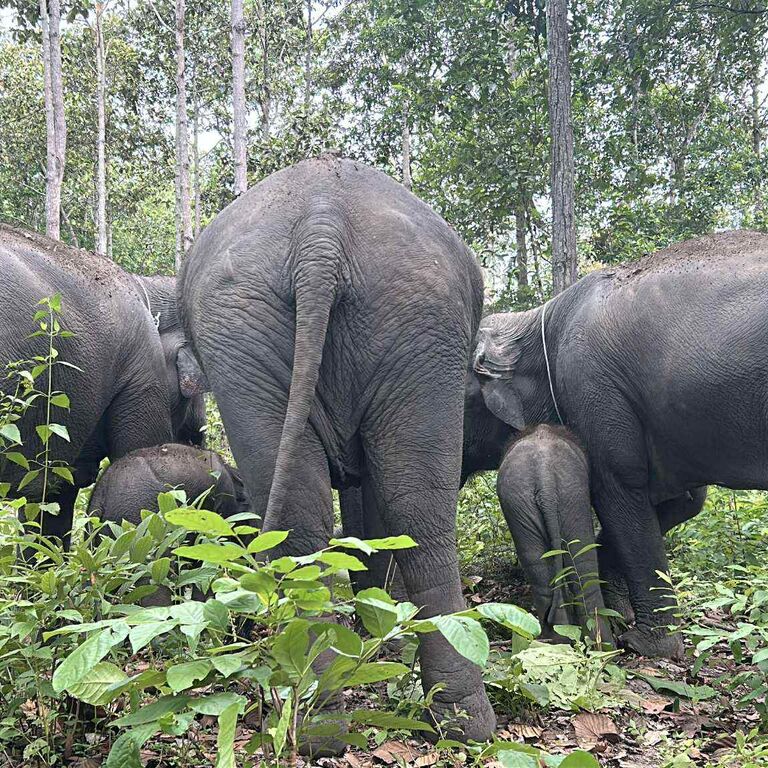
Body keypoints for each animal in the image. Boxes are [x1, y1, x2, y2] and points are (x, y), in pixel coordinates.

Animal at [179, 155, 495, 746]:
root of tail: (321, 227)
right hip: (407, 322)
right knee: (415, 509)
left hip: (270, 328)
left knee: (343, 512)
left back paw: (336, 719)